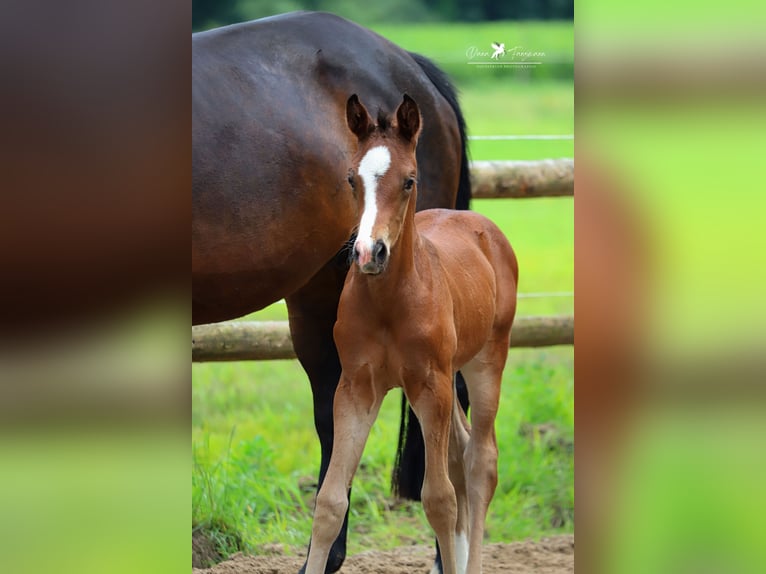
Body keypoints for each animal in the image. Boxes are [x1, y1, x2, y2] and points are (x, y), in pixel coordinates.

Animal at [308, 95, 520, 574]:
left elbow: (439, 499)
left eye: (408, 181)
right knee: (461, 452)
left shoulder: (429, 384)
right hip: (450, 374)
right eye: (351, 178)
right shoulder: (356, 388)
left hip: (485, 362)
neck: (390, 301)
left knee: (480, 462)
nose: (369, 253)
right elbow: (330, 502)